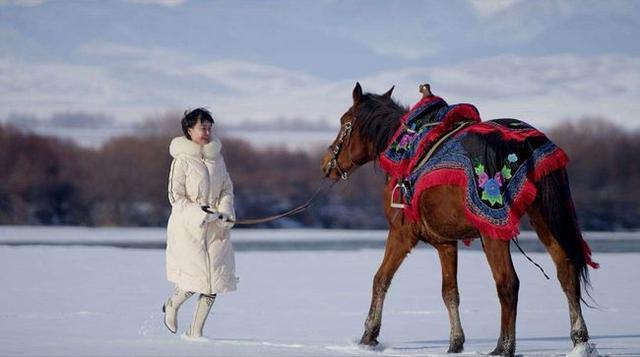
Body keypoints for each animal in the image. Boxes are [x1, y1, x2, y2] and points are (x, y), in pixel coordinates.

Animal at [322, 82, 596, 356]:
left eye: (344, 122)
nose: (327, 164)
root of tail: (529, 145)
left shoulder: (401, 233)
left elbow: (380, 279)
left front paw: (369, 335)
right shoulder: (445, 241)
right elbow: (450, 292)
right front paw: (455, 342)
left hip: (495, 231)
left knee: (508, 283)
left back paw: (504, 346)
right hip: (544, 219)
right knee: (566, 271)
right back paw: (579, 339)